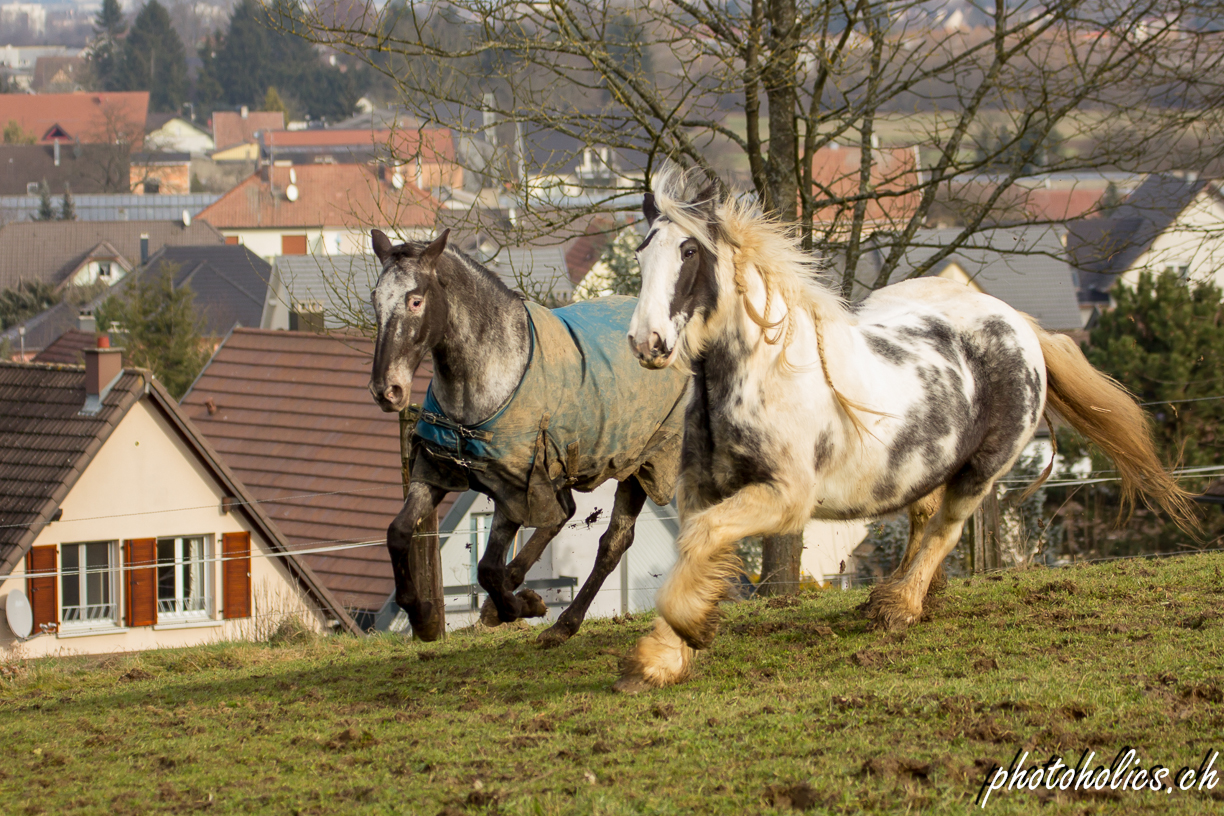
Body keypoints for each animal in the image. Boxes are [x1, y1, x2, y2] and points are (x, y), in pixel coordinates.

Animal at [362, 228, 690, 645]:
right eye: (375, 298)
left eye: (415, 300)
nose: (386, 391)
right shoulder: (437, 471)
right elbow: (399, 533)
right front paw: (423, 618)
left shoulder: (515, 485)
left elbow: (487, 567)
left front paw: (523, 606)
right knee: (564, 514)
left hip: (641, 464)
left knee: (612, 543)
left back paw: (562, 624)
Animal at [612, 168, 1194, 694]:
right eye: (641, 253)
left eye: (689, 252)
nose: (647, 343)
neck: (758, 375)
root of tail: (1019, 325)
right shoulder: (700, 489)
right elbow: (693, 547)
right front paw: (661, 659)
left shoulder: (787, 498)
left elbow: (702, 541)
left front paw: (685, 633)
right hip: (922, 465)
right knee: (923, 518)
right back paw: (904, 594)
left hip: (981, 471)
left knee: (946, 528)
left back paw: (900, 605)